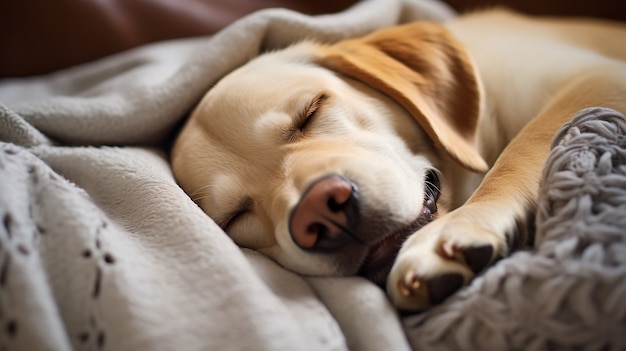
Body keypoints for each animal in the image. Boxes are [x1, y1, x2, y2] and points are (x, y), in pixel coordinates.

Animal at [171, 8, 624, 310]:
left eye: (311, 112)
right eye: (236, 216)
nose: (320, 212)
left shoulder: (597, 80)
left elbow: (519, 151)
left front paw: (458, 229)